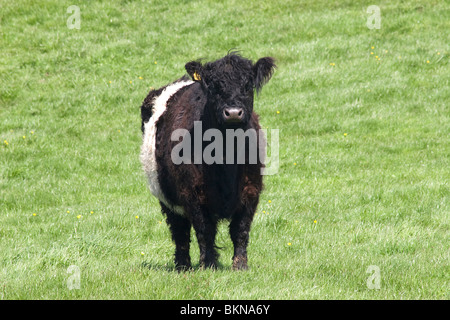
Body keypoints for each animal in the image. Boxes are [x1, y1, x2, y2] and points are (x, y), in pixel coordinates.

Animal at [140, 52, 274, 270]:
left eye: (247, 85)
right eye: (214, 87)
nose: (233, 113)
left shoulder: (251, 190)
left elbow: (241, 230)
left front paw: (240, 266)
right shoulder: (193, 193)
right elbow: (204, 230)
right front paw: (209, 265)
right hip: (165, 197)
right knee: (180, 232)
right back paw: (183, 266)